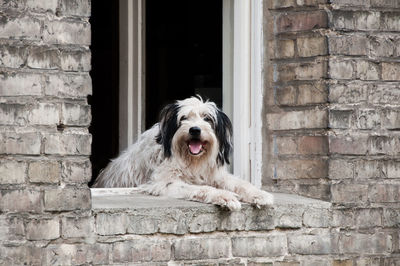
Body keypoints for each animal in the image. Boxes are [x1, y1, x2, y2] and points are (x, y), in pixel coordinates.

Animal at [93, 95, 274, 210]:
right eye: (184, 118)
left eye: (207, 118)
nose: (195, 130)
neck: (191, 160)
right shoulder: (163, 183)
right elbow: (203, 189)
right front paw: (224, 196)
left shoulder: (215, 174)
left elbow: (239, 183)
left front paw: (258, 194)